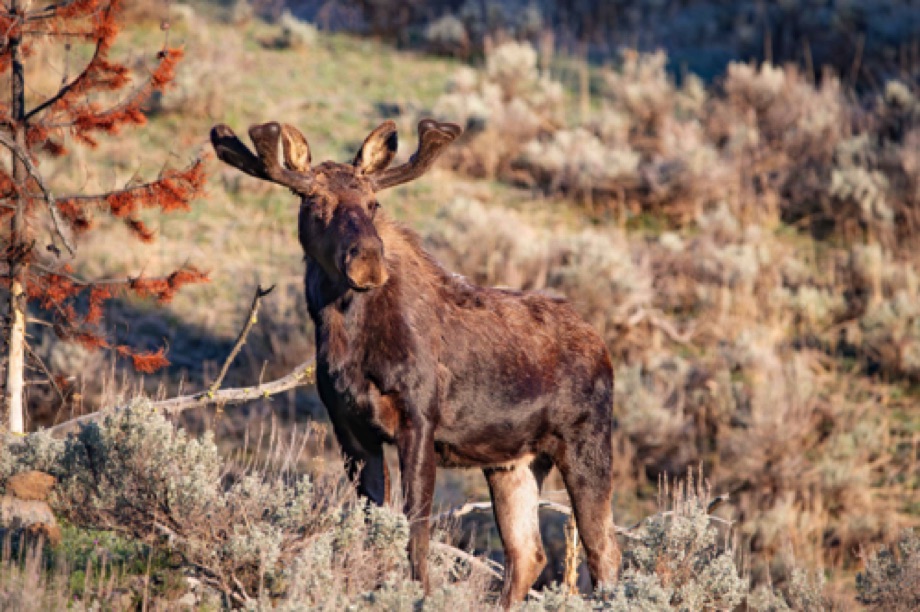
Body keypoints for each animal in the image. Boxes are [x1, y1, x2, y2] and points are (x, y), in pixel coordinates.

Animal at [212, 117, 620, 604]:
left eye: (373, 203)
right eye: (315, 200)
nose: (368, 261)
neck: (345, 337)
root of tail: (602, 346)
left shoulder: (419, 421)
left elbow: (416, 535)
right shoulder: (351, 429)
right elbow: (375, 527)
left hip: (586, 441)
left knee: (604, 552)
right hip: (513, 461)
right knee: (528, 553)